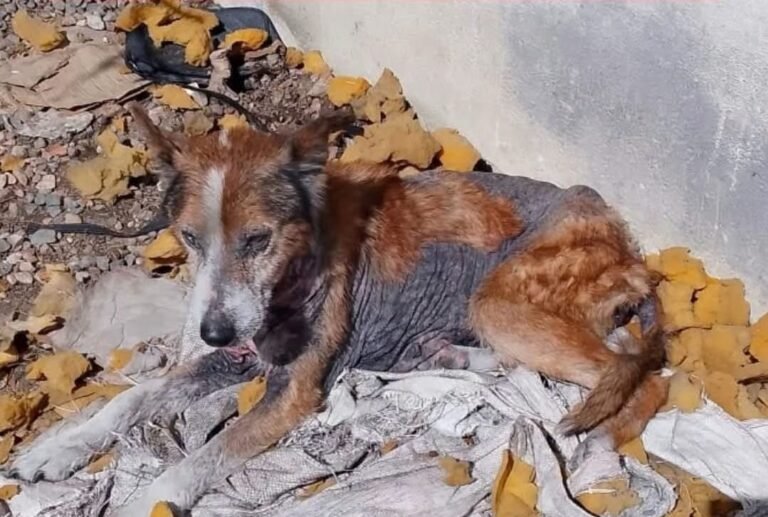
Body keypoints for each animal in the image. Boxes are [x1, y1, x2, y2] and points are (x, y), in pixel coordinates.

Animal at [7, 104, 668, 515]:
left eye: (258, 240)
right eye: (189, 239)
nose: (212, 332)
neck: (297, 269)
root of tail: (628, 248)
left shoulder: (292, 394)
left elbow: (201, 458)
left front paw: (145, 502)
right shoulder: (236, 359)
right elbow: (135, 397)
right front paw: (56, 449)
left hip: (500, 304)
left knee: (640, 376)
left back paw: (599, 448)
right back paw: (458, 356)